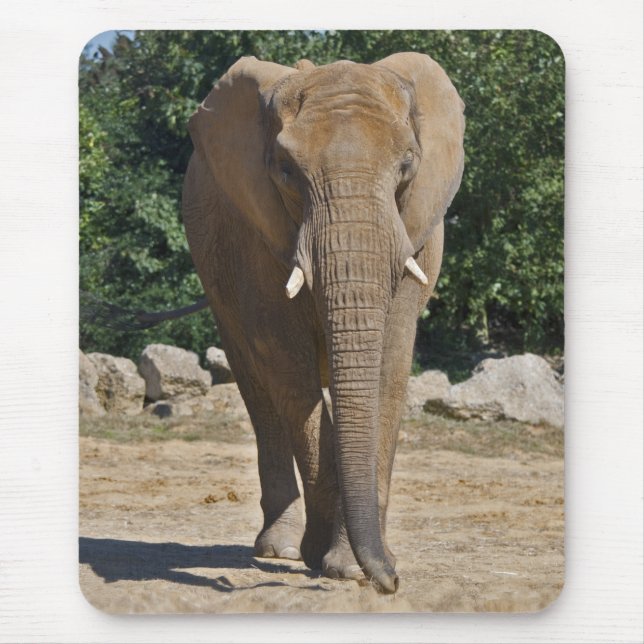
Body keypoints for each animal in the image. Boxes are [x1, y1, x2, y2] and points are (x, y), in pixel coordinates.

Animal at [182, 53, 465, 594]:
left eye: (407, 165)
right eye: (286, 171)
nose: (391, 583)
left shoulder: (416, 229)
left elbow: (389, 363)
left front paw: (356, 565)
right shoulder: (255, 232)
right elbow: (285, 363)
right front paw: (337, 563)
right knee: (256, 385)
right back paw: (281, 548)